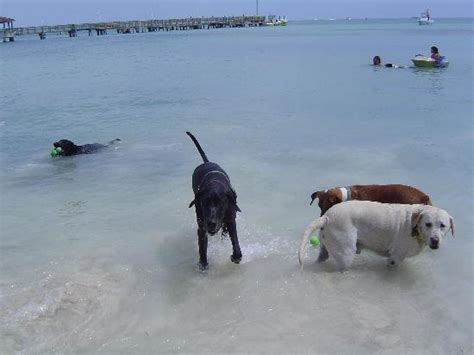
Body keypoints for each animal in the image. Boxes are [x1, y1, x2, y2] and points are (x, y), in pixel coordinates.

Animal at [187, 132, 243, 272]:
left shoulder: (230, 218)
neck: (214, 183)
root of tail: (207, 162)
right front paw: (203, 264)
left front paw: (236, 257)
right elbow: (202, 247)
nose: (211, 223)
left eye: (221, 203)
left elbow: (235, 241)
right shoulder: (201, 226)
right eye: (204, 202)